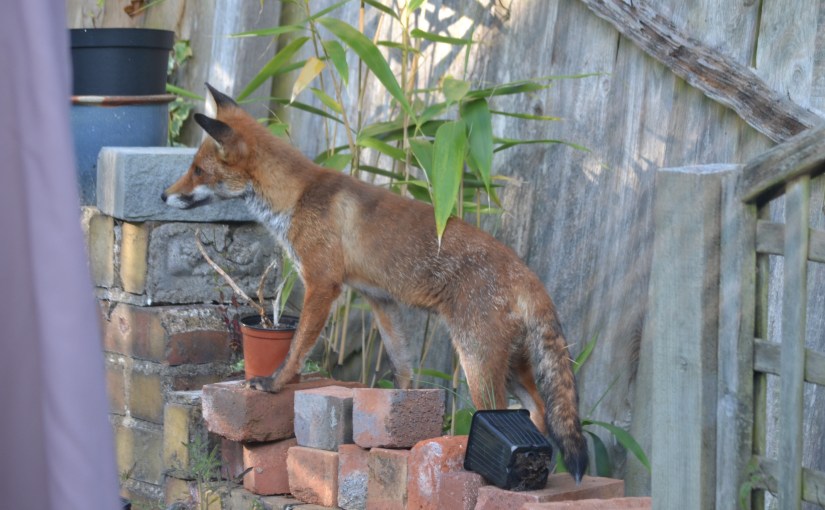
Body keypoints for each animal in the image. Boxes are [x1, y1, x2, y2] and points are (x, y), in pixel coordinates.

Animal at [162, 84, 588, 481]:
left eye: (197, 170)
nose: (164, 195)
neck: (296, 197)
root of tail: (527, 274)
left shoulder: (322, 284)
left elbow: (297, 346)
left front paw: (274, 382)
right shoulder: (380, 299)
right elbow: (402, 364)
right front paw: (402, 415)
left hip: (477, 361)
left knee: (502, 411)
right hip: (510, 364)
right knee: (539, 412)